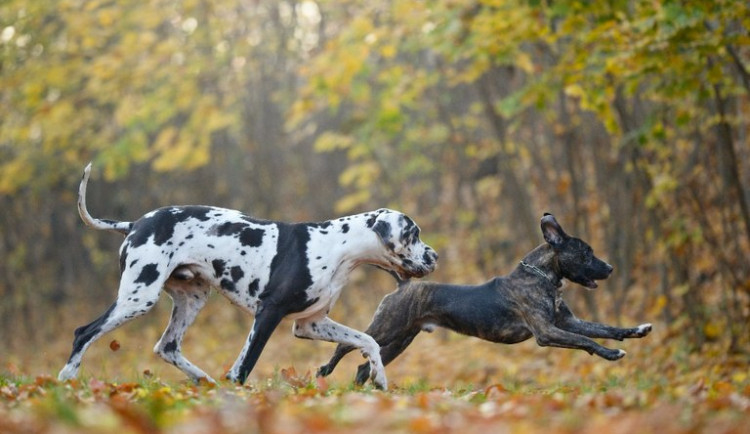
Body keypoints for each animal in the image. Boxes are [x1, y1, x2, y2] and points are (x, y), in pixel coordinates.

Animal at [58, 164, 438, 388]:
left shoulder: (310, 324)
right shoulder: (268, 314)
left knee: (166, 347)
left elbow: (367, 341)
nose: (435, 256)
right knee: (83, 332)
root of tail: (135, 223)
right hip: (138, 297)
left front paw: (379, 378)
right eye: (414, 233)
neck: (337, 247)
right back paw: (66, 380)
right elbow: (244, 366)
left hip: (191, 299)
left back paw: (204, 381)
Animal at [318, 212, 652, 384]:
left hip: (400, 340)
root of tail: (404, 285)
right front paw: (612, 354)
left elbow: (603, 328)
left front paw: (636, 330)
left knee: (364, 366)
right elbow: (587, 341)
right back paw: (325, 371)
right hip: (387, 328)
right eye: (586, 253)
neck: (542, 277)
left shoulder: (567, 322)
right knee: (345, 345)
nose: (610, 268)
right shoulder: (547, 332)